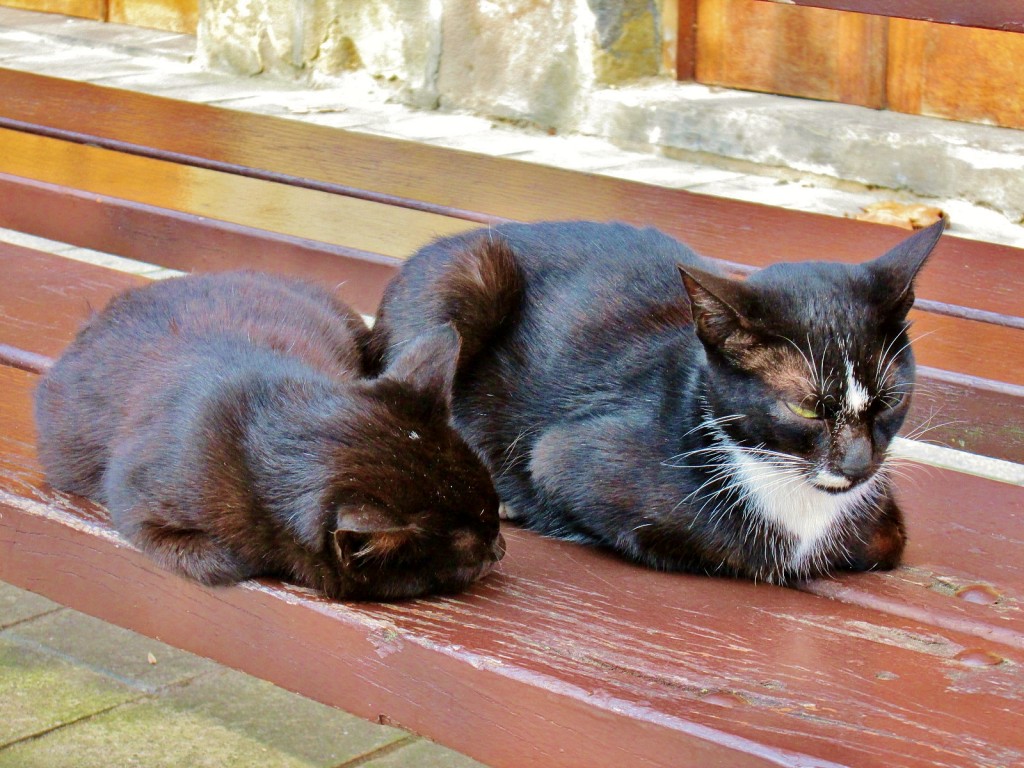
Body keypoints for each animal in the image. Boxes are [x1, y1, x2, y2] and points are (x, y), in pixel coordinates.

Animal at [34, 270, 505, 602]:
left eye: (495, 510)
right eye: (471, 552)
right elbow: (217, 561)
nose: (500, 547)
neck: (270, 426)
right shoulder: (135, 498)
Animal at [370, 218, 942, 581]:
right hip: (466, 279)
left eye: (891, 398)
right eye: (803, 407)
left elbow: (887, 539)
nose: (858, 465)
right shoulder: (563, 457)